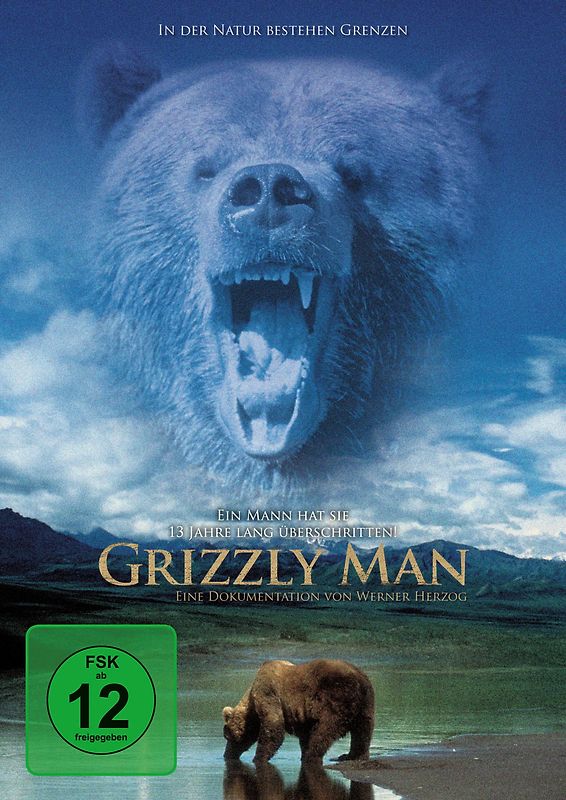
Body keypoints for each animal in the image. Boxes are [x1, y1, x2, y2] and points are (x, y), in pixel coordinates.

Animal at [222, 659, 374, 764]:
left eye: (227, 736)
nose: (226, 754)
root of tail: (360, 678)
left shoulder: (268, 693)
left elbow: (273, 727)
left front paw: (258, 758)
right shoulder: (303, 715)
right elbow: (304, 735)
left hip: (336, 698)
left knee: (325, 730)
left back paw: (312, 756)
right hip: (366, 704)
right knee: (363, 731)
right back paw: (352, 756)